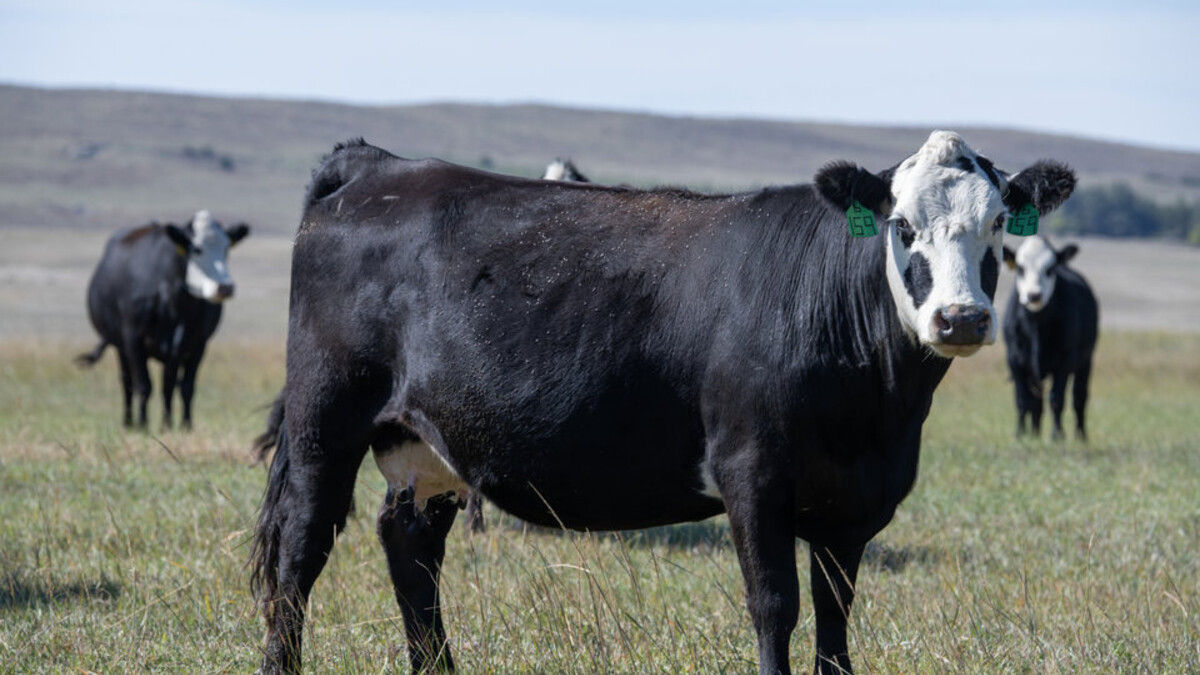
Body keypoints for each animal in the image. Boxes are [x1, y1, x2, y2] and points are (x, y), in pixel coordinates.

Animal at [77, 211, 249, 430]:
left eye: (226, 247)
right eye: (196, 249)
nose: (224, 287)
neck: (172, 296)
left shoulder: (196, 344)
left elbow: (181, 386)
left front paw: (179, 425)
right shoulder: (133, 339)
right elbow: (144, 385)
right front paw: (143, 424)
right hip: (120, 345)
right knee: (127, 381)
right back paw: (128, 421)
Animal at [249, 132, 1075, 675]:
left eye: (997, 226)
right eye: (903, 225)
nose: (960, 319)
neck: (874, 416)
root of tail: (377, 167)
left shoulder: (855, 502)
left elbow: (835, 619)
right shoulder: (752, 473)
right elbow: (774, 603)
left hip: (426, 443)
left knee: (410, 547)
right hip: (325, 419)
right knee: (300, 552)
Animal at [1002, 236, 1098, 440]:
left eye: (1050, 268)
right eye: (1020, 268)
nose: (1034, 295)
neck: (1036, 325)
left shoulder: (1064, 363)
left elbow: (1057, 399)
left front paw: (1057, 435)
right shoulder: (1015, 361)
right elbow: (1022, 400)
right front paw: (1020, 434)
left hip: (1086, 361)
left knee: (1079, 396)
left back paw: (1081, 435)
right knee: (1036, 403)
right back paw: (1035, 433)